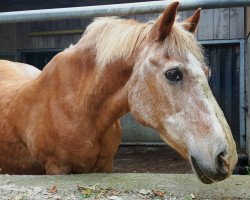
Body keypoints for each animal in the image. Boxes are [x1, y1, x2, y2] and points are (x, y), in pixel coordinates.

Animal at [0, 1, 237, 184]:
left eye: (207, 72)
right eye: (173, 74)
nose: (226, 158)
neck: (77, 107)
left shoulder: (106, 165)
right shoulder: (57, 168)